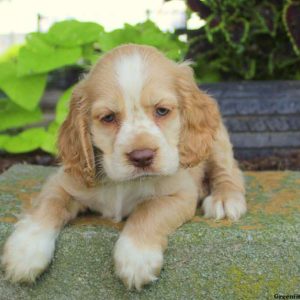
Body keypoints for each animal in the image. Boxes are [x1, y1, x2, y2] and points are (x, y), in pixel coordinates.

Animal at [1, 44, 246, 288]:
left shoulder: (179, 194)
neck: (121, 184)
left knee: (228, 170)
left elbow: (149, 210)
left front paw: (136, 258)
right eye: (108, 117)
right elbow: (48, 205)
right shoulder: (62, 183)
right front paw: (24, 252)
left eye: (162, 111)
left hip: (217, 141)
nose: (142, 156)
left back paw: (225, 199)